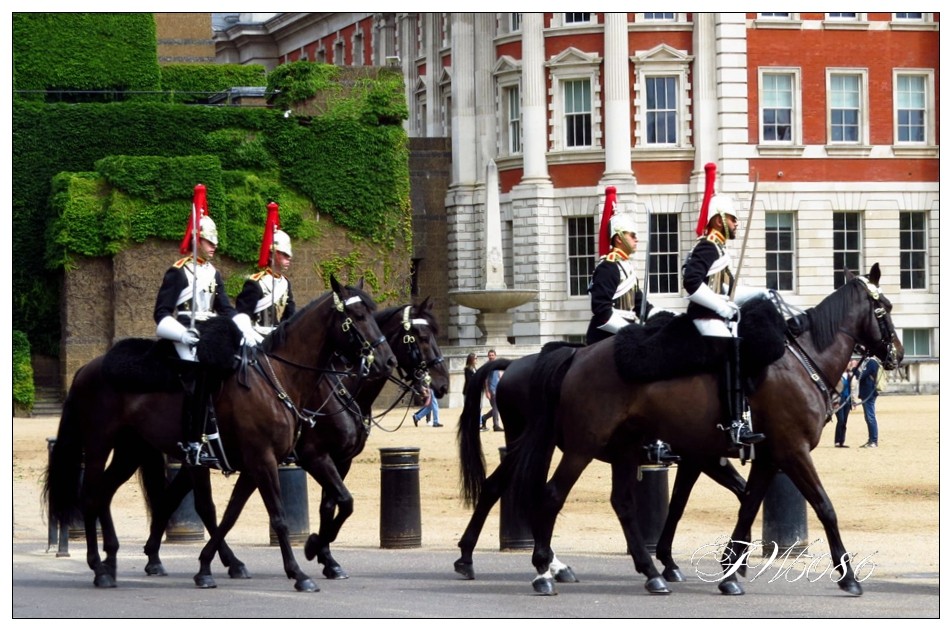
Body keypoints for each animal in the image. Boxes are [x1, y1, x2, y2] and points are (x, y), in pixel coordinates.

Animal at [41, 278, 394, 592]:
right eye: (357, 316)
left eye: (372, 312)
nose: (387, 360)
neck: (278, 380)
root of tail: (88, 368)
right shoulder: (271, 459)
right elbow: (279, 516)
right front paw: (300, 571)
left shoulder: (265, 464)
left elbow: (234, 513)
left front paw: (210, 566)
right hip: (99, 444)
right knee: (91, 496)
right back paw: (100, 567)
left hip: (131, 451)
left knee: (108, 494)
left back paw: (113, 560)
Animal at [506, 266, 900, 596]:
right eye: (884, 308)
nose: (897, 354)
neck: (804, 362)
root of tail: (576, 355)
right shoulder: (790, 452)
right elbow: (823, 506)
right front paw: (848, 576)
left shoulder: (758, 456)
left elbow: (744, 505)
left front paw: (729, 570)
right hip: (582, 446)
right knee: (551, 495)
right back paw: (544, 570)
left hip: (623, 448)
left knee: (622, 503)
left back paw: (650, 573)